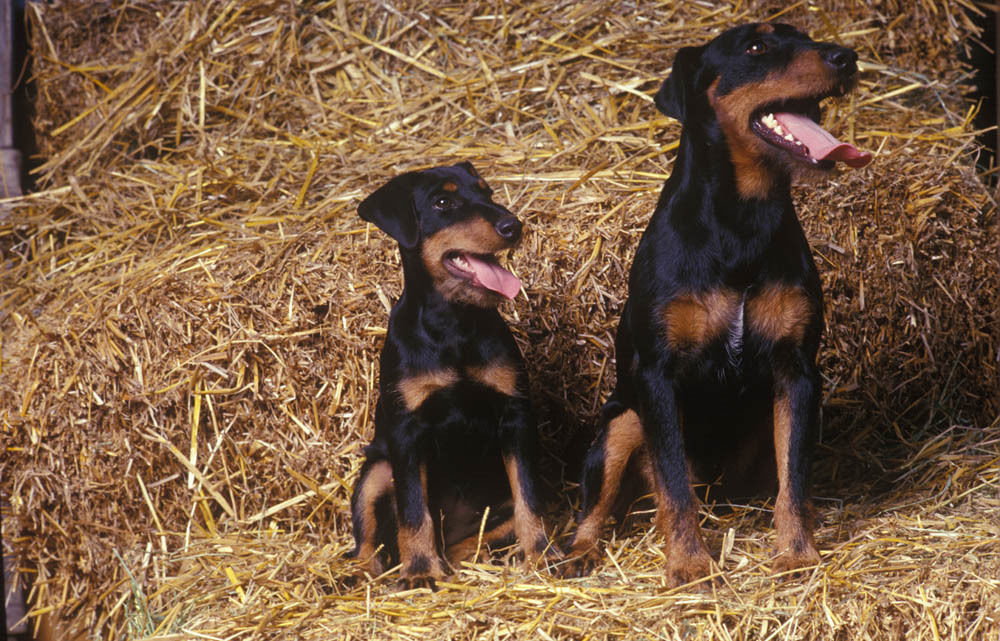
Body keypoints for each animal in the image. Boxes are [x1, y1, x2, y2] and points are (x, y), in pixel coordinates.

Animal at [350, 162, 556, 588]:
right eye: (442, 202)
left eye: (487, 192)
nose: (513, 225)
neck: (455, 324)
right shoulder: (407, 432)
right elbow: (415, 510)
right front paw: (419, 571)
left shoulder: (514, 416)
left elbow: (529, 496)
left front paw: (541, 554)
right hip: (376, 471)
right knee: (367, 544)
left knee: (473, 542)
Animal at [568, 23, 872, 584]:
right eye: (756, 47)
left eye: (806, 35)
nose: (847, 57)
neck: (741, 218)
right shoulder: (657, 376)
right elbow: (673, 486)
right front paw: (690, 563)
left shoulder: (796, 371)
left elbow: (794, 480)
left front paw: (797, 553)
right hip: (621, 422)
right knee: (598, 506)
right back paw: (579, 552)